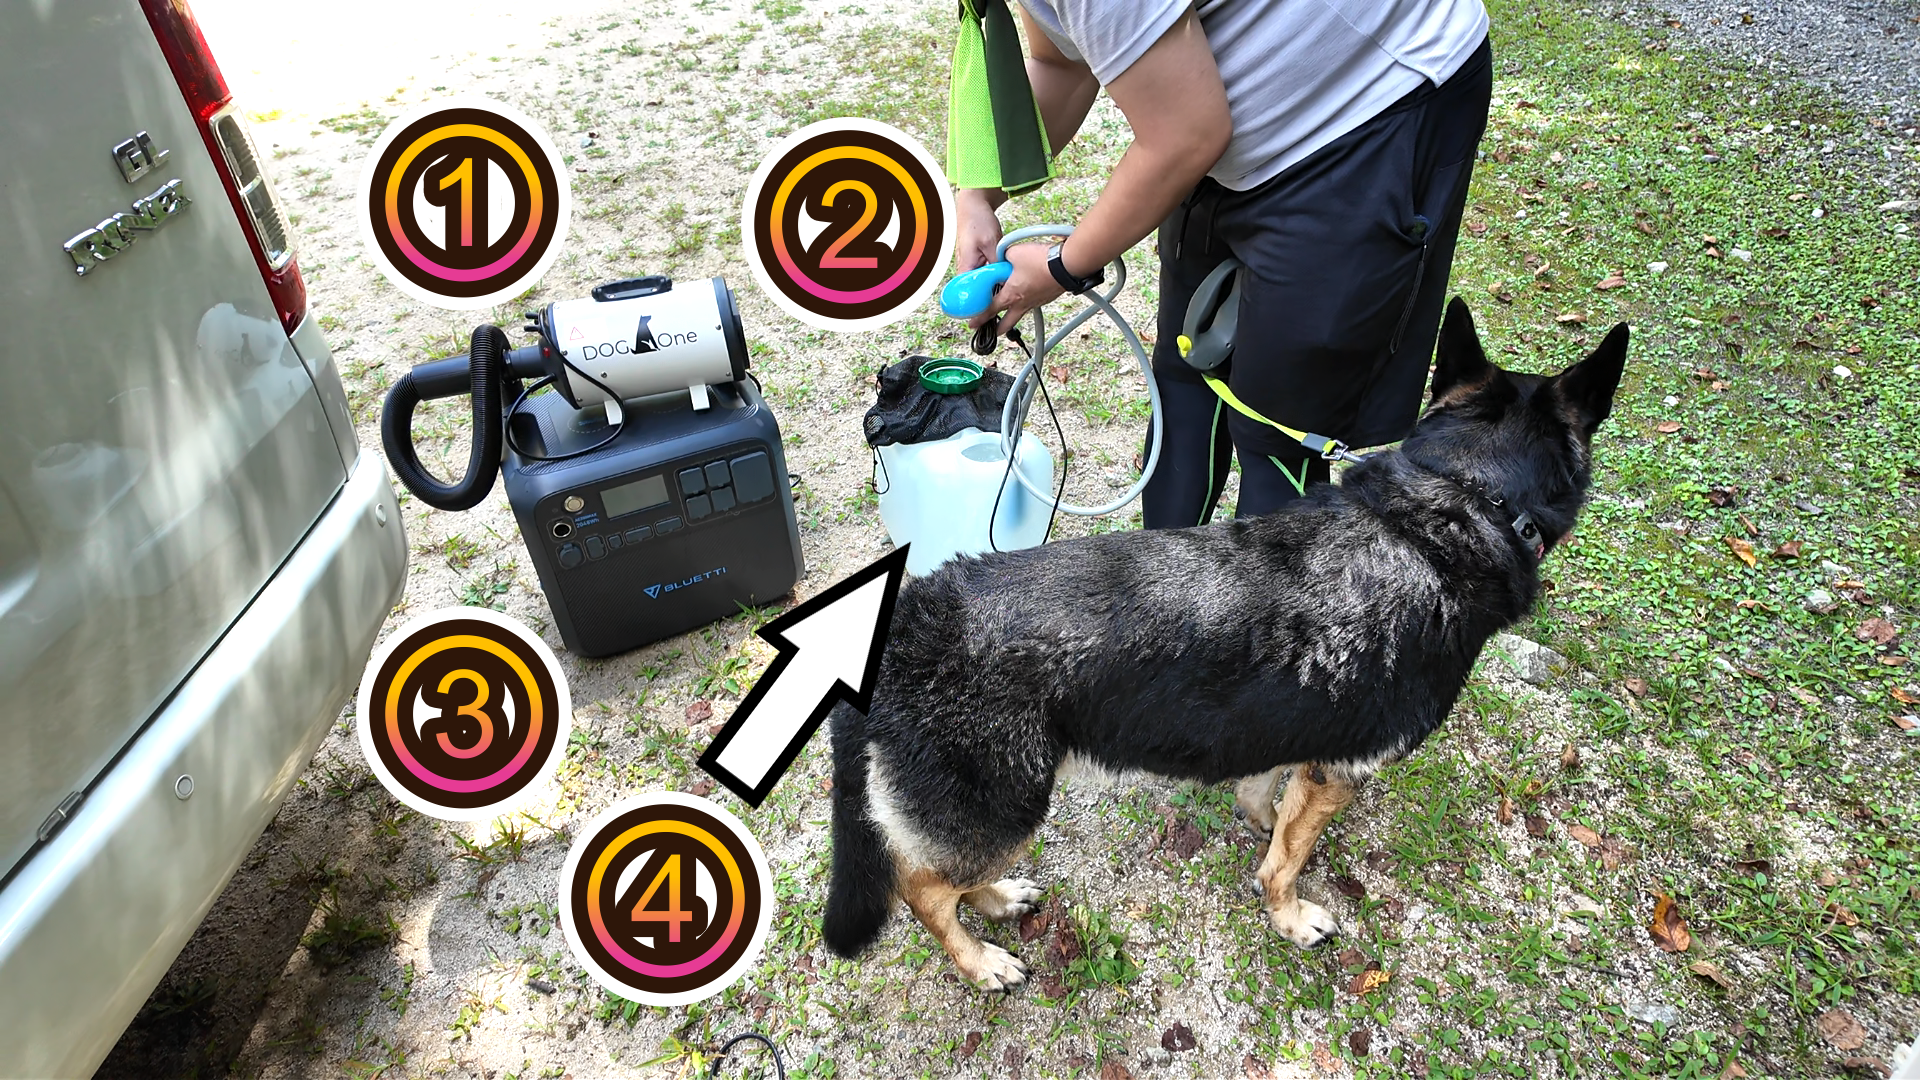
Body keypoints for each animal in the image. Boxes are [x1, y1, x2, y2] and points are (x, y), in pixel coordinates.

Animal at [821, 299, 1629, 990]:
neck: (1452, 503)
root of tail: (909, 618)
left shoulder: (1284, 732)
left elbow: (1267, 799)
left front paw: (1265, 822)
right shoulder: (1342, 768)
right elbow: (1287, 864)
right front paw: (1290, 915)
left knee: (948, 876)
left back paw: (995, 900)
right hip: (1005, 806)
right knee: (921, 889)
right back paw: (980, 959)